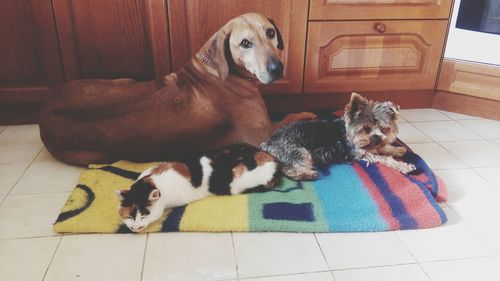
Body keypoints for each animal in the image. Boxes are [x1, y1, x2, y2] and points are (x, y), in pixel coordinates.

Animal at [39, 13, 314, 165]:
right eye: (245, 43)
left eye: (270, 32)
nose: (277, 68)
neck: (218, 70)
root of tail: (43, 113)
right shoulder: (263, 134)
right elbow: (288, 118)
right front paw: (305, 113)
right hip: (94, 155)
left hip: (121, 80)